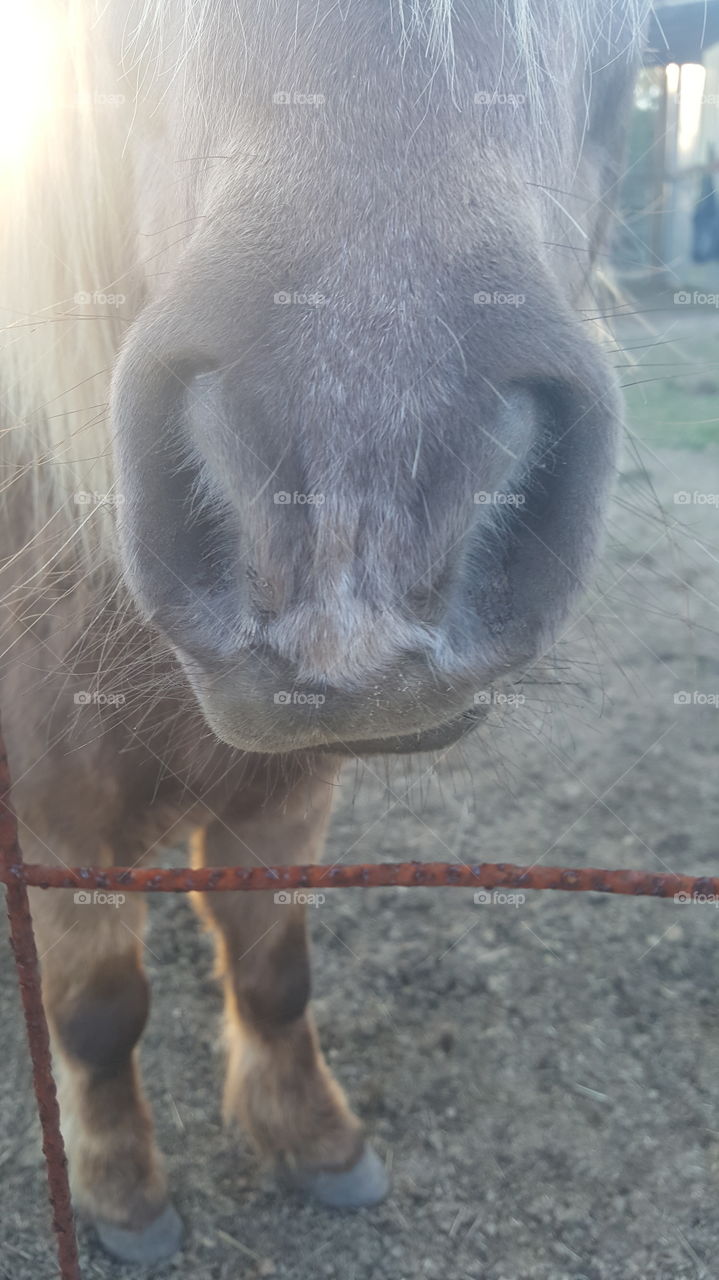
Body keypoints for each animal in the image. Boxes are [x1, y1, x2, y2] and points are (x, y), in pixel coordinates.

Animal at [0, 0, 649, 1263]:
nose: (358, 510)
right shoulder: (58, 805)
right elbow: (97, 1010)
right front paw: (122, 1193)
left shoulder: (289, 788)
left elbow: (272, 965)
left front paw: (312, 1138)